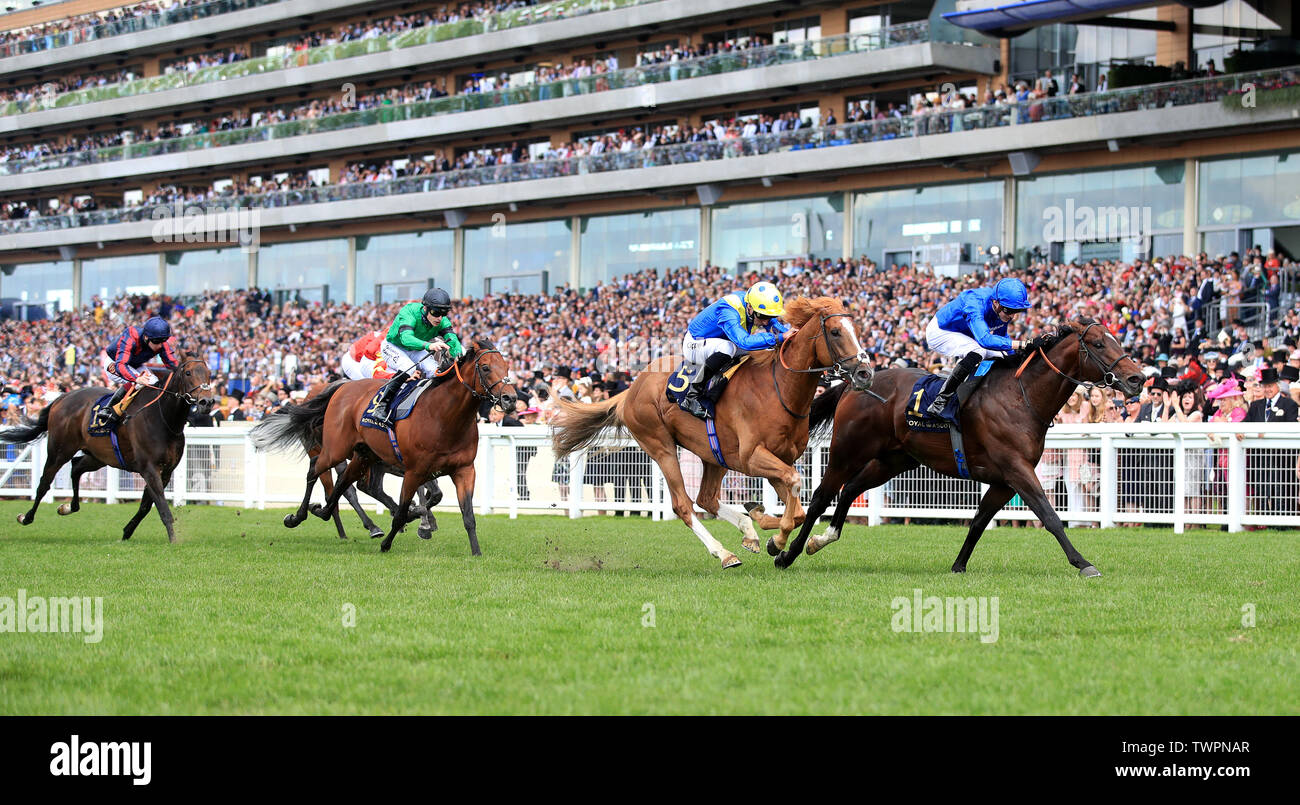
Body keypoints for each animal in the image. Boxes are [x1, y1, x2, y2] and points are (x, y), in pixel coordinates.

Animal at [0, 361, 215, 543]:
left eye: (209, 373)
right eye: (188, 373)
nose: (207, 402)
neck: (163, 419)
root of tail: (62, 397)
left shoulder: (166, 471)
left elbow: (146, 506)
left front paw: (127, 532)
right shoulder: (149, 468)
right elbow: (161, 505)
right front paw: (173, 539)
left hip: (98, 456)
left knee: (76, 467)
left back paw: (68, 507)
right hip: (59, 450)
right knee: (44, 483)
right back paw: (26, 517)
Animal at [250, 335, 514, 554]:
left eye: (507, 367)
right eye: (485, 367)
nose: (510, 398)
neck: (444, 416)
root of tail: (340, 388)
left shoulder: (464, 470)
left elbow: (466, 514)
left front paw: (476, 552)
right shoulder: (415, 470)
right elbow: (409, 507)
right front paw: (401, 533)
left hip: (363, 455)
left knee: (347, 484)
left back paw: (328, 513)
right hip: (336, 450)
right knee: (318, 471)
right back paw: (299, 517)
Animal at [548, 299, 873, 569]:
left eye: (857, 330)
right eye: (835, 332)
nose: (865, 373)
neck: (779, 390)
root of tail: (631, 389)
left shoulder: (781, 459)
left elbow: (797, 511)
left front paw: (764, 526)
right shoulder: (752, 457)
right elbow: (794, 492)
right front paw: (776, 539)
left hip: (714, 455)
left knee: (707, 499)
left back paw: (749, 529)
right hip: (661, 446)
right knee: (684, 504)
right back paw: (725, 553)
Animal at [774, 319, 1144, 580]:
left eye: (1118, 340)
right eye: (1098, 343)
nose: (1137, 379)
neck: (1021, 397)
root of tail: (854, 382)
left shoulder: (1003, 481)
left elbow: (979, 521)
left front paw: (958, 565)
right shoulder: (1017, 470)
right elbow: (1050, 516)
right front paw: (1083, 563)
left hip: (894, 459)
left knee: (850, 488)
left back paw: (822, 539)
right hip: (848, 449)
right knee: (822, 495)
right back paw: (786, 553)